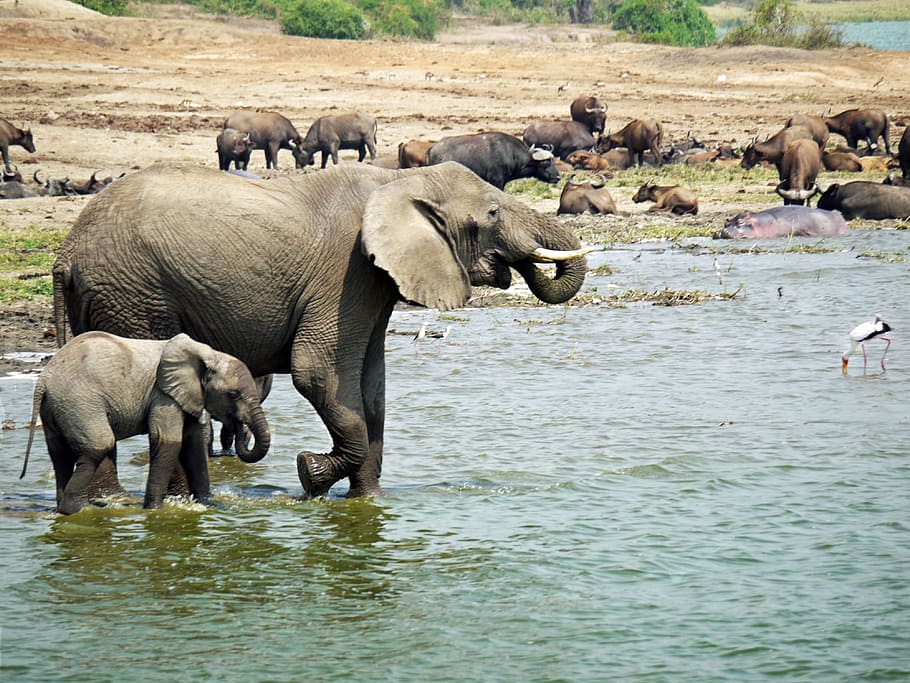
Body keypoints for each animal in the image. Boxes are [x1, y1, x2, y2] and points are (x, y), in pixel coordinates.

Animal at [21, 332, 271, 514]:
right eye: (233, 395)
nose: (240, 428)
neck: (208, 354)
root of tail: (43, 379)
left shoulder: (187, 395)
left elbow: (193, 443)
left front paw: (206, 504)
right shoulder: (163, 395)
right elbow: (167, 440)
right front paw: (154, 511)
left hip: (56, 407)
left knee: (59, 453)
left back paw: (66, 509)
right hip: (79, 402)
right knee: (99, 444)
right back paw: (77, 510)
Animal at [53, 161, 591, 499]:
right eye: (493, 214)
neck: (399, 181)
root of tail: (66, 250)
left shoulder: (374, 281)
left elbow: (370, 386)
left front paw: (368, 503)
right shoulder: (347, 271)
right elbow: (318, 372)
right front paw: (309, 475)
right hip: (135, 294)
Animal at [425, 131, 560, 190]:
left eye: (552, 160)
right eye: (545, 162)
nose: (558, 177)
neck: (510, 152)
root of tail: (431, 149)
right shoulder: (496, 181)